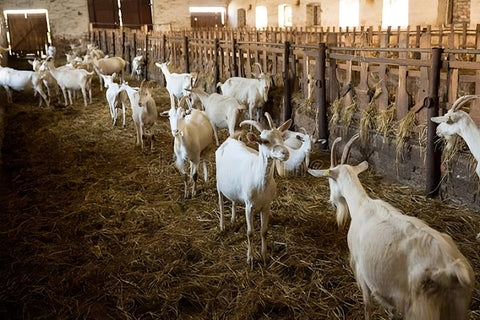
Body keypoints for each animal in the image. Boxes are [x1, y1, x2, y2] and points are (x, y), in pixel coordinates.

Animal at [218, 112, 292, 264]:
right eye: (265, 141)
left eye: (281, 137)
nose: (285, 153)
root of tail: (229, 140)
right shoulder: (249, 206)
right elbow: (250, 232)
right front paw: (250, 258)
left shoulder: (266, 205)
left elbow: (264, 231)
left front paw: (264, 255)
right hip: (218, 183)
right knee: (221, 203)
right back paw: (222, 226)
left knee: (233, 200)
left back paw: (233, 219)